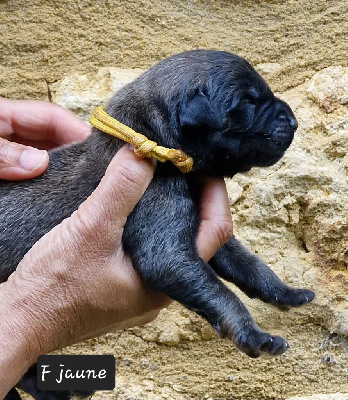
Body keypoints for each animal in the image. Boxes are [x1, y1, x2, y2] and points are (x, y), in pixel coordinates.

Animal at [0, 50, 316, 400]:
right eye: (247, 102)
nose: (293, 121)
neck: (151, 136)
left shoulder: (210, 238)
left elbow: (250, 265)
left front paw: (286, 292)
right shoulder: (165, 243)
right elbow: (220, 292)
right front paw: (255, 336)